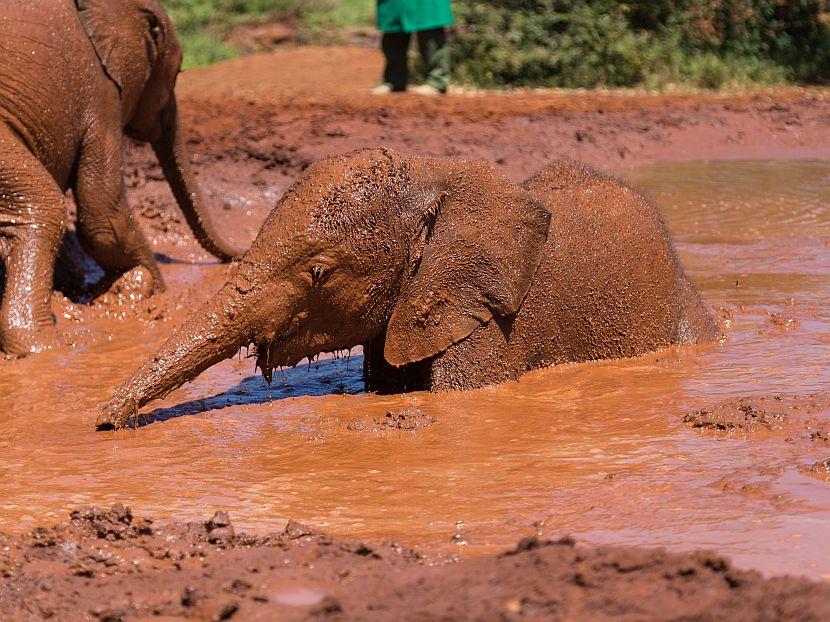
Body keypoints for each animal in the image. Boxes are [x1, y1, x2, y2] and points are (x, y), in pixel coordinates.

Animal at [0, 0, 244, 358]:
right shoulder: (101, 94)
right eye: (177, 74)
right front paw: (157, 292)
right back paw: (43, 347)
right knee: (43, 205)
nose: (241, 252)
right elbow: (104, 216)